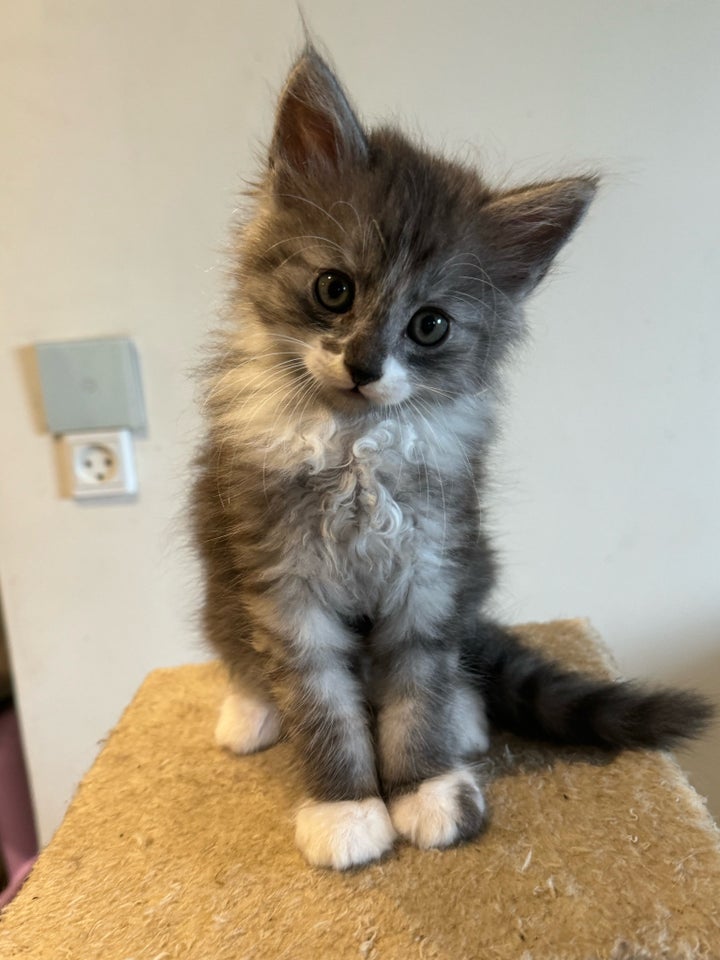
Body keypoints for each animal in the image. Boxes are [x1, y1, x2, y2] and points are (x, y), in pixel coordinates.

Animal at [193, 45, 716, 872]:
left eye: (430, 325)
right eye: (334, 290)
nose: (365, 365)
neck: (358, 446)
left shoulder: (433, 574)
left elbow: (418, 692)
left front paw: (425, 788)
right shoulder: (284, 586)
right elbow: (320, 704)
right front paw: (346, 808)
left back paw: (466, 718)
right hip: (219, 584)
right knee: (239, 654)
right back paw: (249, 714)